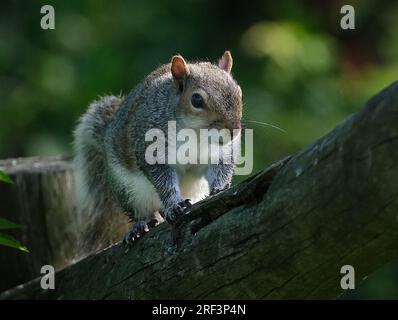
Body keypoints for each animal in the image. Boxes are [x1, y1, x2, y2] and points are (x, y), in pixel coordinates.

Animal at [73, 50, 244, 255]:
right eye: (196, 99)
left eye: (239, 93)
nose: (233, 131)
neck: (195, 134)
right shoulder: (152, 150)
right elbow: (163, 181)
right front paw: (174, 205)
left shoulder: (222, 153)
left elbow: (221, 170)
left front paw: (220, 188)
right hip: (127, 190)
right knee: (140, 212)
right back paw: (140, 226)